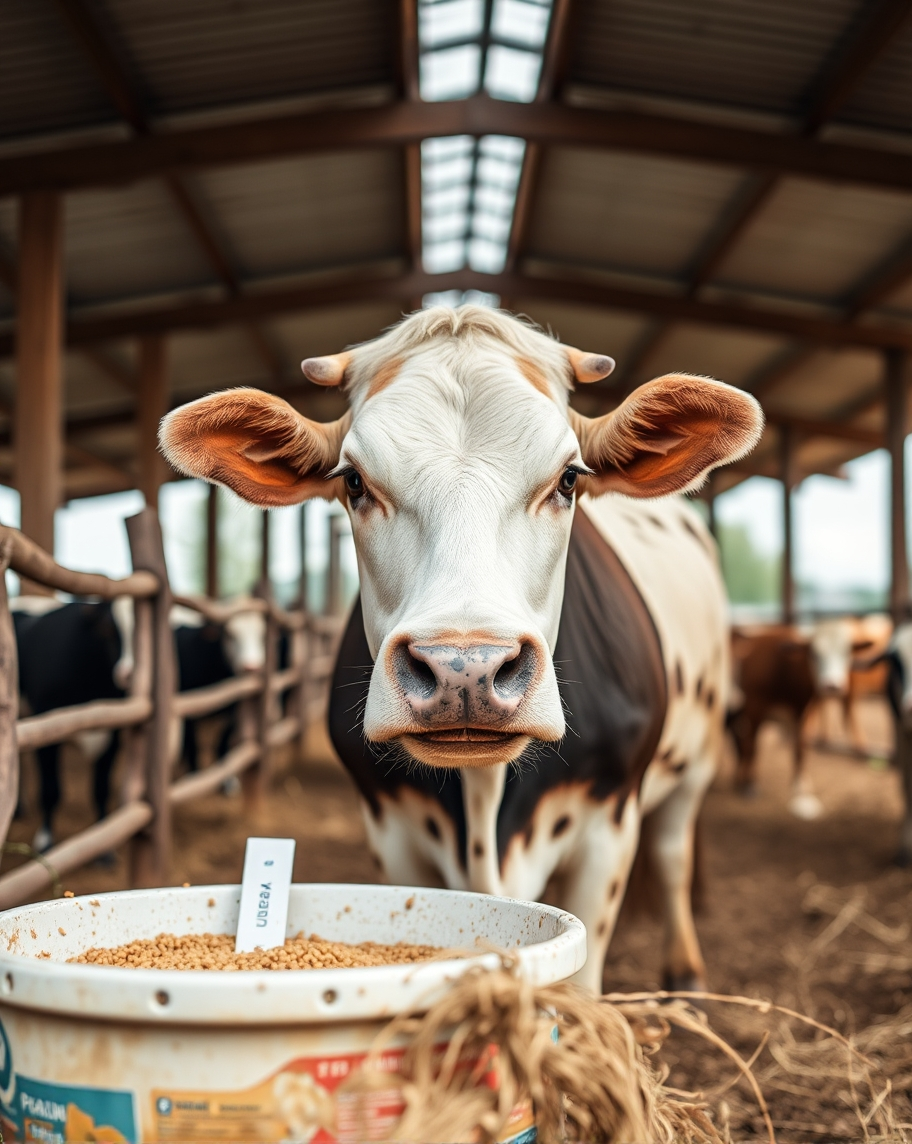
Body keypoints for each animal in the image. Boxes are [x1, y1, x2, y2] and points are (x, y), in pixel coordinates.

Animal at [160, 305, 762, 991]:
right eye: (355, 483)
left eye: (568, 479)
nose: (464, 670)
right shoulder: (392, 830)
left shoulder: (609, 820)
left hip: (694, 763)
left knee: (672, 852)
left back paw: (685, 970)